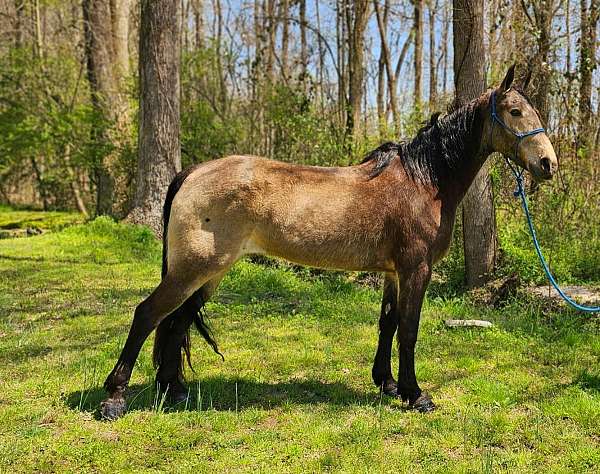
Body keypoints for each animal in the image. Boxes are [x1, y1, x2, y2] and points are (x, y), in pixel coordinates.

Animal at [102, 64, 556, 418]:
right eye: (515, 111)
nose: (548, 163)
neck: (423, 181)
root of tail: (192, 172)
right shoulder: (415, 269)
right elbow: (408, 329)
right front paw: (416, 395)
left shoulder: (392, 272)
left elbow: (388, 324)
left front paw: (388, 384)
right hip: (196, 268)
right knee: (149, 314)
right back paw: (114, 398)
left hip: (209, 272)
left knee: (178, 320)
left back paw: (174, 390)